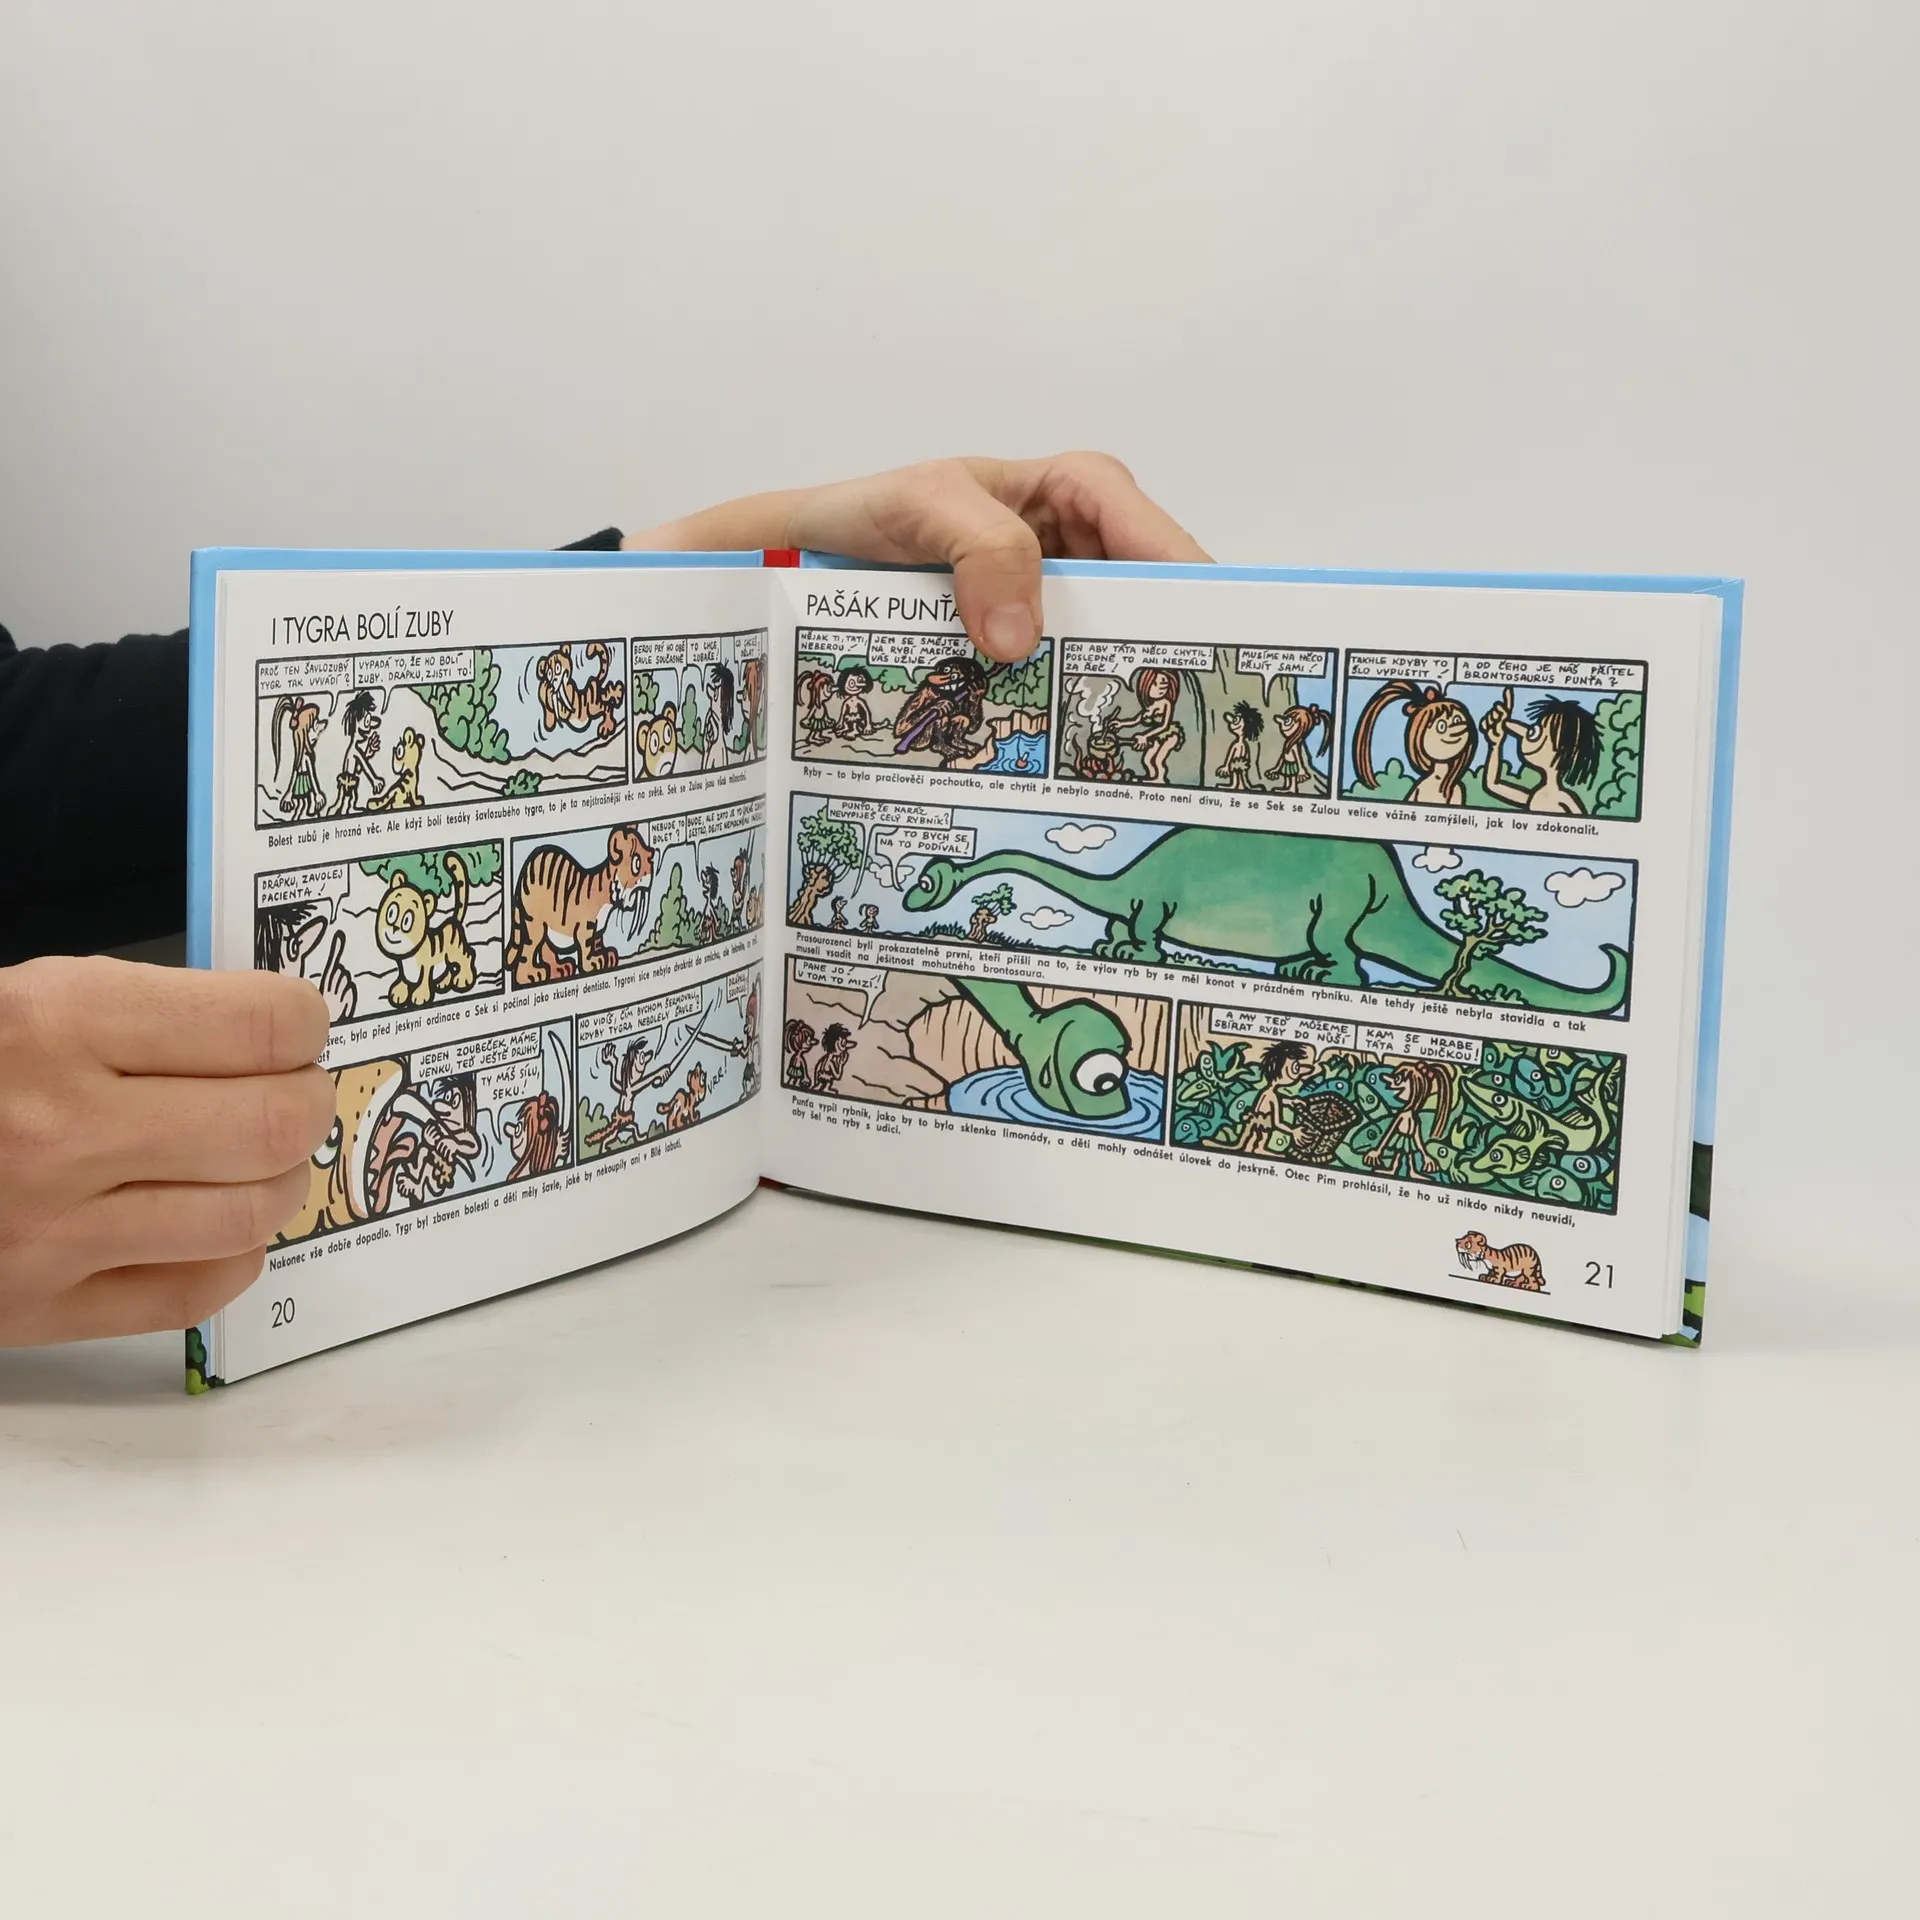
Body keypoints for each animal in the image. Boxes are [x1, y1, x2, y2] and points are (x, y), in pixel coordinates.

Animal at [376, 852, 477, 1009]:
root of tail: (452, 921)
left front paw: (420, 996)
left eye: (407, 920)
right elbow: (403, 979)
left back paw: (463, 979)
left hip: (455, 952)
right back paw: (443, 983)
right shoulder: (404, 971)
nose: (394, 928)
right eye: (391, 912)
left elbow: (424, 980)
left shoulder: (427, 966)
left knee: (467, 956)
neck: (410, 955)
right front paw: (398, 993)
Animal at [505, 825, 654, 986]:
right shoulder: (586, 925)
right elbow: (587, 944)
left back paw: (559, 968)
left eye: (649, 856)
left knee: (546, 945)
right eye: (636, 863)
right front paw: (594, 963)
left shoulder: (598, 927)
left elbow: (597, 941)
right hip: (535, 921)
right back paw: (530, 975)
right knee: (529, 946)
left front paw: (606, 956)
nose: (651, 873)